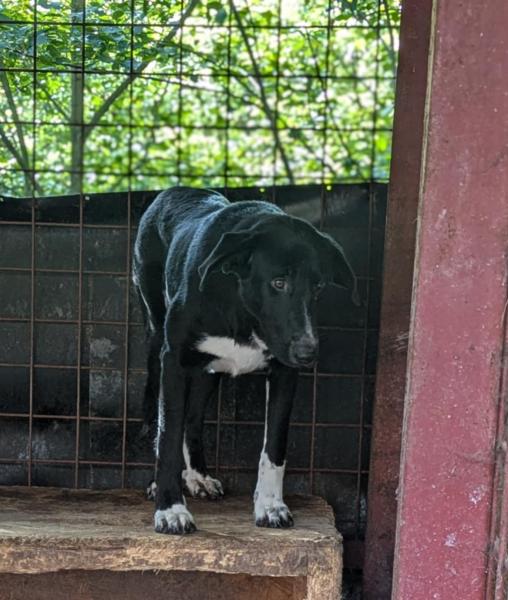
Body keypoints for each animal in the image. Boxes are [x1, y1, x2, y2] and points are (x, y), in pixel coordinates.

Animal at [132, 187, 359, 534]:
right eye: (278, 283)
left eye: (318, 286)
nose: (308, 353)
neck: (240, 309)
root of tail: (174, 190)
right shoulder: (174, 363)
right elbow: (168, 434)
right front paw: (170, 510)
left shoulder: (283, 374)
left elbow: (274, 446)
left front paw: (271, 505)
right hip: (158, 341)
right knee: (164, 419)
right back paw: (161, 484)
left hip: (208, 372)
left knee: (193, 419)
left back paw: (198, 477)